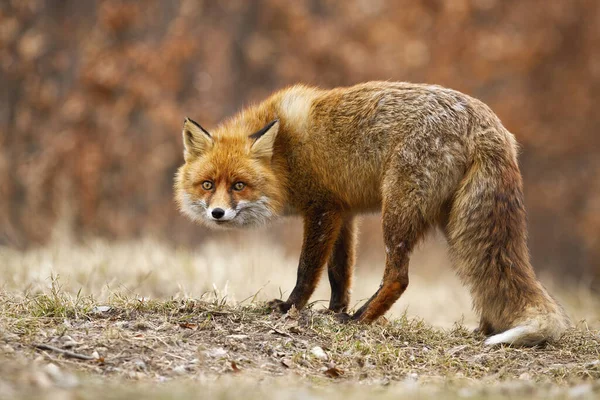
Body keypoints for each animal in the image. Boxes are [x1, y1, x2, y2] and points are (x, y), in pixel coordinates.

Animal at [173, 82, 568, 346]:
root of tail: (489, 124)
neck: (285, 155)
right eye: (207, 184)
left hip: (398, 211)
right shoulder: (343, 213)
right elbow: (339, 274)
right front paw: (334, 311)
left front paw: (290, 308)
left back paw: (361, 319)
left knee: (399, 277)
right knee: (484, 275)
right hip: (456, 225)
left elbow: (307, 271)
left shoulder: (321, 209)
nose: (218, 213)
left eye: (239, 185)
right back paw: (484, 328)